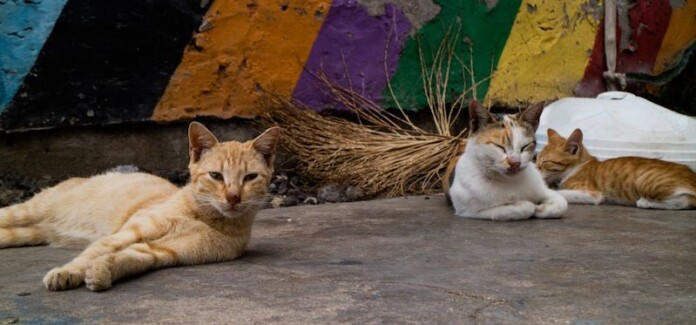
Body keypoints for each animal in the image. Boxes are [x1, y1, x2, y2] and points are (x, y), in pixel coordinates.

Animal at [2, 122, 282, 292]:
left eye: (250, 178)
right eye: (216, 176)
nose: (234, 197)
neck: (204, 217)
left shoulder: (162, 251)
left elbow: (129, 259)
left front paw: (102, 272)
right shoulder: (127, 234)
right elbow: (91, 253)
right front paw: (68, 272)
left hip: (29, 232)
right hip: (27, 211)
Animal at [540, 128, 696, 209]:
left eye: (545, 162)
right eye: (537, 160)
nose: (536, 168)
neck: (575, 168)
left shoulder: (592, 194)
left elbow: (561, 192)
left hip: (646, 181)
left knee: (686, 201)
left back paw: (646, 202)